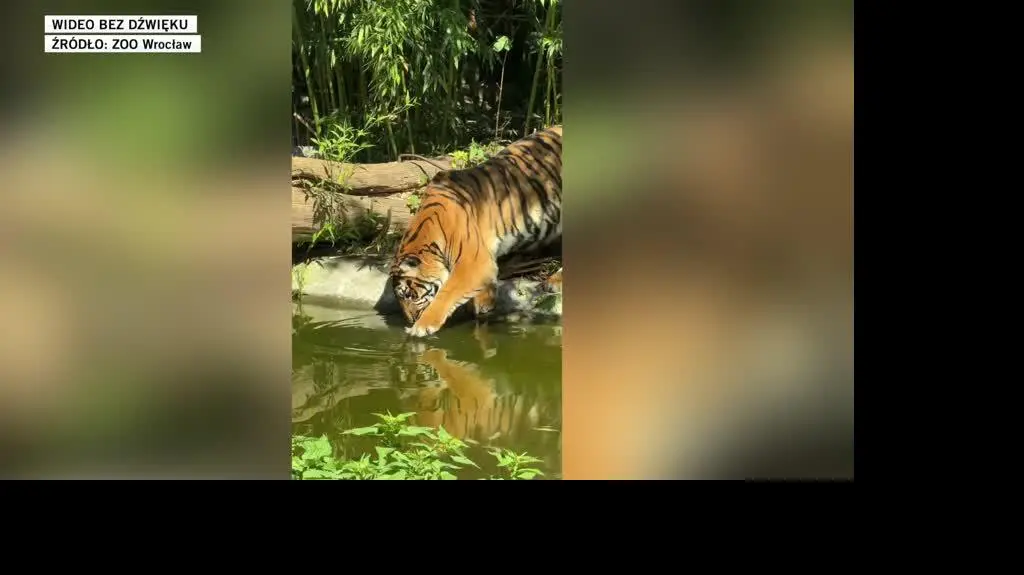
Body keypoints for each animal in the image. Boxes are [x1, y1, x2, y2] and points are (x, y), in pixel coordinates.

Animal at [389, 125, 562, 337]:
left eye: (408, 295)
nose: (410, 319)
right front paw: (484, 304)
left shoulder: (473, 263)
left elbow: (447, 293)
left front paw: (420, 327)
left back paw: (554, 281)